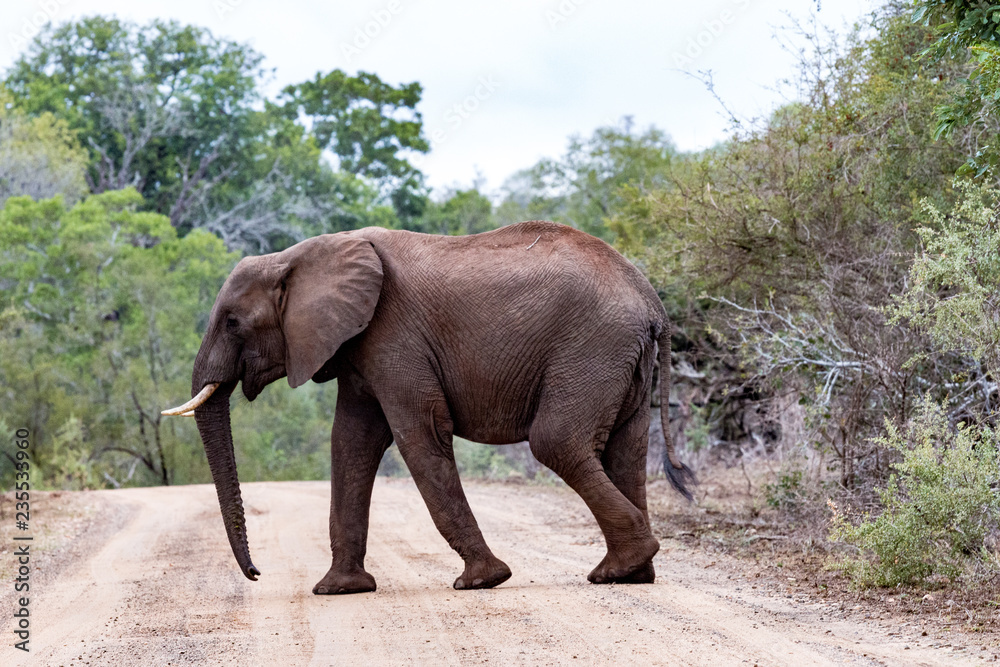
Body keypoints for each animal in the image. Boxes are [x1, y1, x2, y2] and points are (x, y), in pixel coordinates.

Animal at [164, 222, 692, 596]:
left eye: (232, 323)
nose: (256, 573)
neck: (296, 256)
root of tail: (652, 302)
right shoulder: (359, 346)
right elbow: (351, 444)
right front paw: (338, 590)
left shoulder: (393, 336)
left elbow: (419, 436)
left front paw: (481, 581)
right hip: (622, 358)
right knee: (626, 448)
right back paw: (632, 574)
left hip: (590, 348)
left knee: (556, 441)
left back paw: (617, 569)